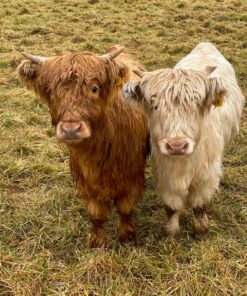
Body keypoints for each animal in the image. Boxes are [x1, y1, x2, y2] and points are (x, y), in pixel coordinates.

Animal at [18, 46, 149, 247]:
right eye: (50, 91)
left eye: (94, 89)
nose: (71, 129)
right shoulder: (86, 179)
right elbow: (96, 214)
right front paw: (97, 242)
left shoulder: (132, 176)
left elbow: (125, 208)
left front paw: (127, 238)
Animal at [124, 42, 244, 236]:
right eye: (154, 104)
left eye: (196, 103)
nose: (177, 146)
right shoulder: (165, 174)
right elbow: (172, 206)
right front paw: (171, 230)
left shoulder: (206, 176)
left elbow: (199, 205)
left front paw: (201, 229)